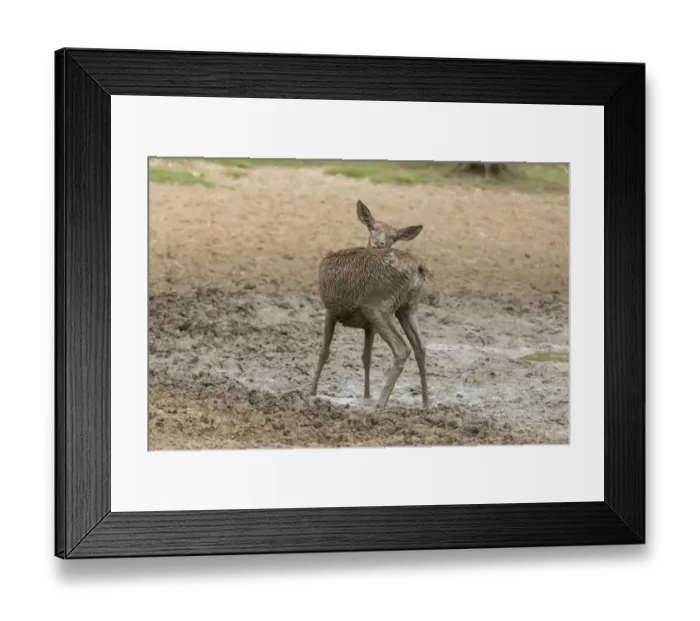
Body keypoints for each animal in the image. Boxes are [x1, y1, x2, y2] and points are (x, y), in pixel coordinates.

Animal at [310, 200, 431, 409]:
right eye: (372, 227)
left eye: (394, 236)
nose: (378, 243)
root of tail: (418, 269)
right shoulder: (369, 326)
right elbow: (366, 357)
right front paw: (366, 396)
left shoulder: (330, 308)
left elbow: (324, 351)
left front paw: (311, 392)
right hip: (407, 308)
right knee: (420, 348)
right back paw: (426, 402)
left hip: (377, 305)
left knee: (402, 349)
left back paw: (381, 403)